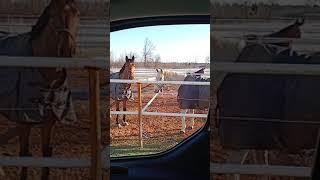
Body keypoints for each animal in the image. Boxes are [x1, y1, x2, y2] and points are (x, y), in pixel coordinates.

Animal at [0, 0, 79, 179]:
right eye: (53, 14)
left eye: (77, 13)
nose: (66, 51)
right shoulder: (23, 120)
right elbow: (24, 153)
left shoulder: (49, 122)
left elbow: (46, 155)